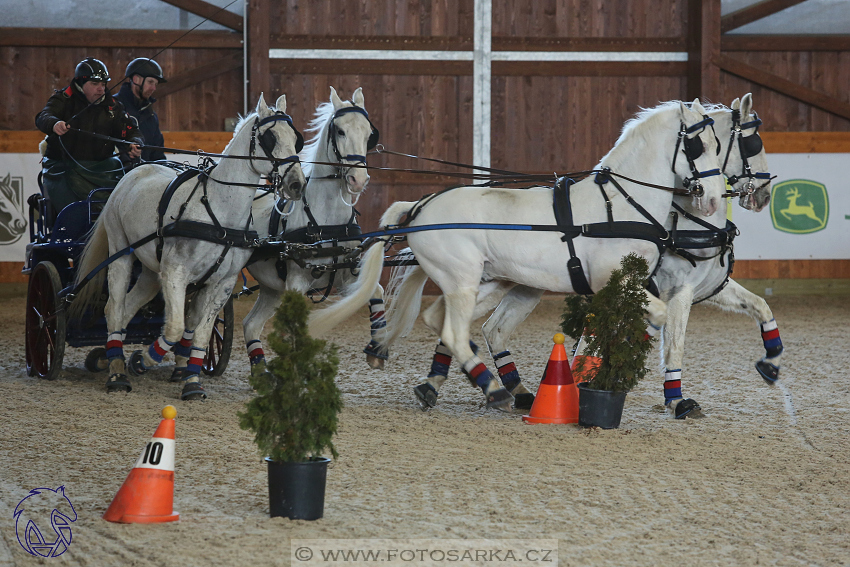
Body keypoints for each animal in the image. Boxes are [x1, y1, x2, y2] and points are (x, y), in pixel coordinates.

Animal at [72, 94, 304, 400]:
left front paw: (192, 383)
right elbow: (174, 328)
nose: (297, 184)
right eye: (270, 137)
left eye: (296, 138)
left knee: (128, 307)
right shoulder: (175, 273)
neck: (219, 211)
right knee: (114, 308)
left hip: (150, 272)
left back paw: (113, 357)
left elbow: (202, 334)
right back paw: (118, 372)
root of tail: (136, 170)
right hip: (120, 253)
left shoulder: (222, 283)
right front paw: (142, 360)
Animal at [232, 86, 380, 380]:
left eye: (369, 134)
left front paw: (377, 350)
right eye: (340, 131)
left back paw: (260, 371)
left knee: (251, 324)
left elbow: (375, 290)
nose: (358, 180)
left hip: (271, 287)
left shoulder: (346, 274)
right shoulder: (296, 283)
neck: (326, 224)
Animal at [308, 97, 724, 408]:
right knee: (453, 330)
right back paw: (493, 389)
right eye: (698, 145)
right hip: (463, 280)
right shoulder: (616, 281)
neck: (619, 206)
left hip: (486, 281)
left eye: (718, 146)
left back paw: (455, 384)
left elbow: (656, 319)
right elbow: (659, 317)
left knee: (440, 320)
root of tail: (421, 206)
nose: (714, 199)